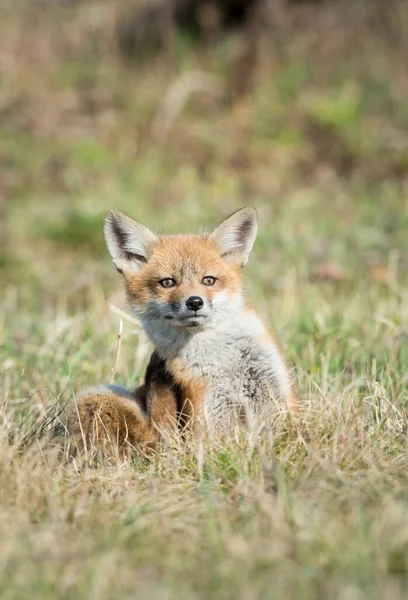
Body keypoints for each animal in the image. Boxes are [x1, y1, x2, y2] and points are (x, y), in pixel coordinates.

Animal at [66, 207, 296, 454]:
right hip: (100, 395)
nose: (194, 302)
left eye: (208, 280)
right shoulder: (206, 424)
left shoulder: (279, 398)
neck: (223, 361)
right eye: (167, 282)